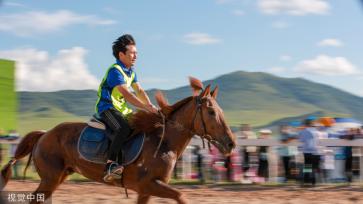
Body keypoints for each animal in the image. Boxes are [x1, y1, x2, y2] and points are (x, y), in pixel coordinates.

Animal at [0, 77, 239, 203]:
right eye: (211, 112)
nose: (231, 143)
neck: (163, 143)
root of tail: (44, 133)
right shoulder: (149, 184)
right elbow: (181, 195)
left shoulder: (145, 190)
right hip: (50, 179)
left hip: (57, 177)